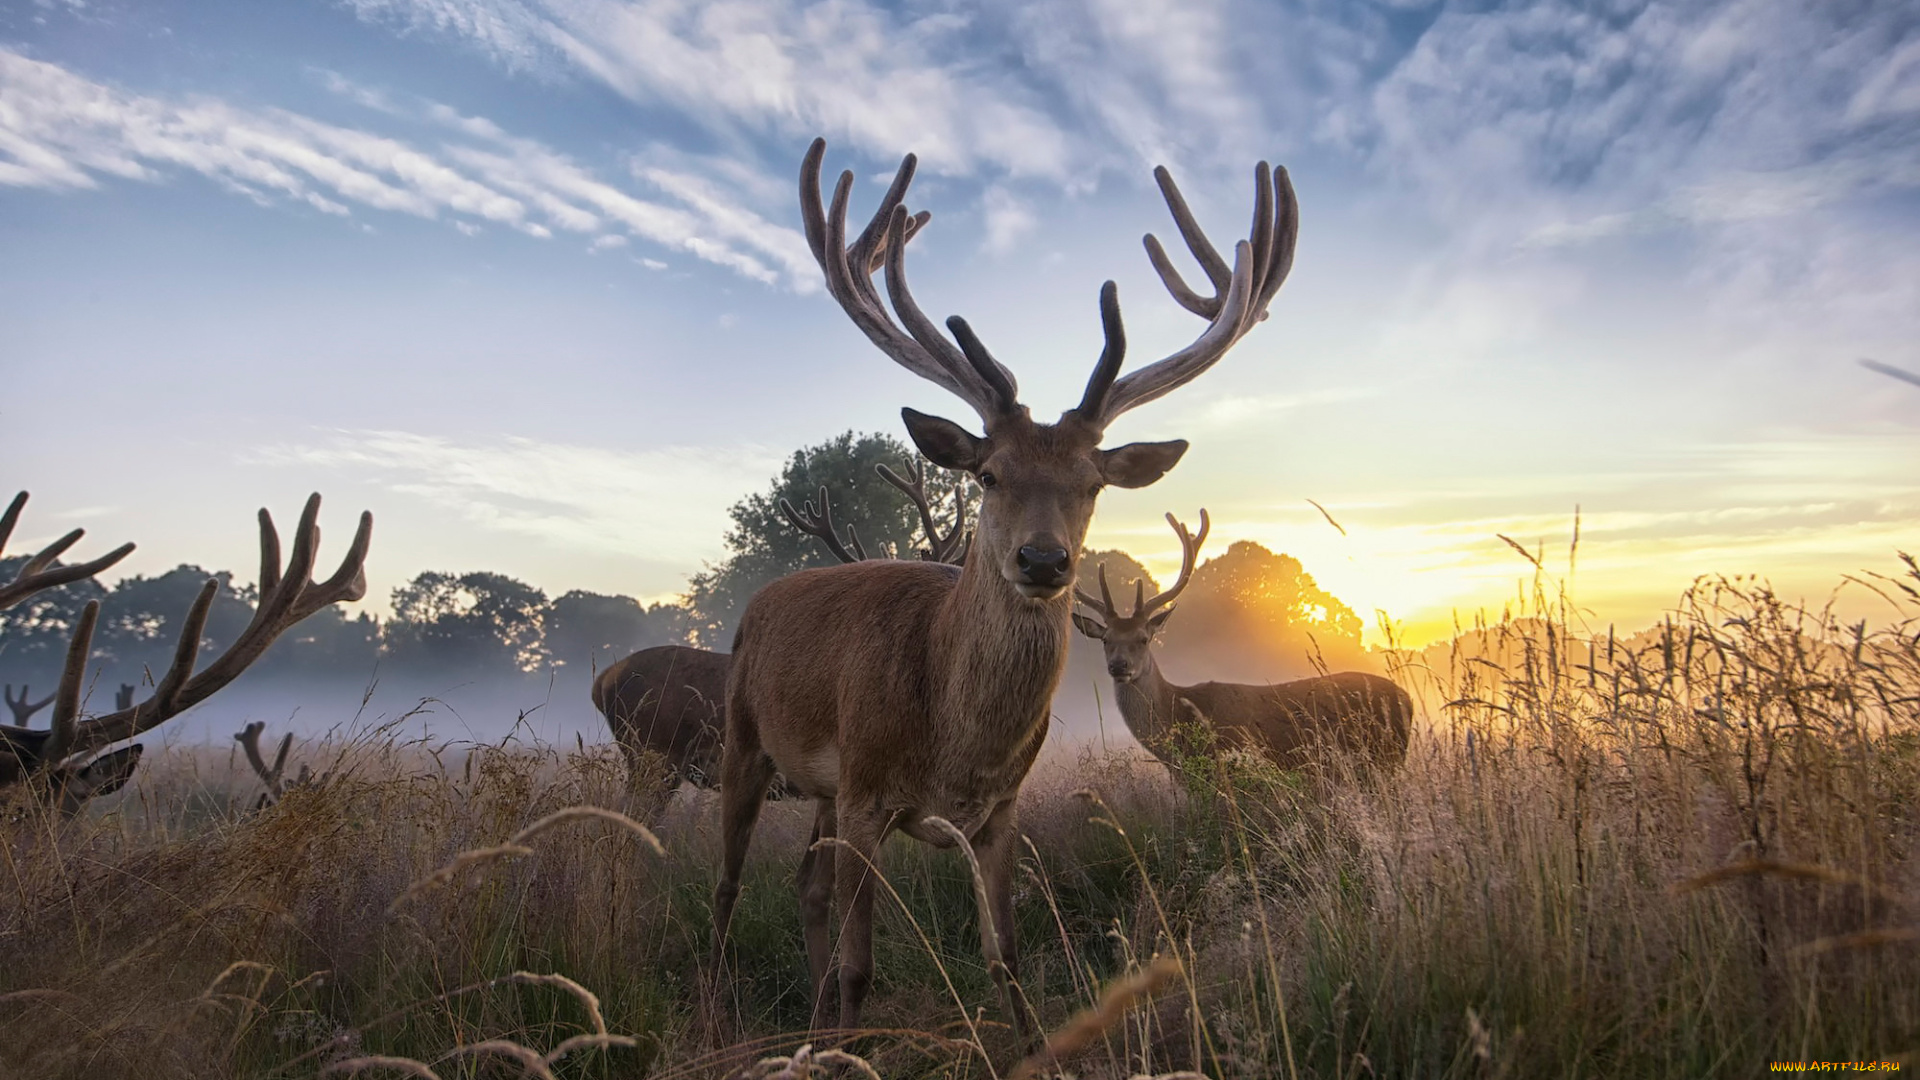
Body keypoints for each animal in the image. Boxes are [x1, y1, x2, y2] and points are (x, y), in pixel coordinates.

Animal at [714, 136, 1297, 1037]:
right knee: (728, 888)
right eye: (988, 474)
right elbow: (860, 966)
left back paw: (811, 1022)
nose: (1044, 561)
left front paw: (1022, 1044)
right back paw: (730, 1010)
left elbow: (1008, 960)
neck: (954, 742)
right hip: (744, 738)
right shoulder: (867, 790)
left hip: (819, 790)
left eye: (1093, 483)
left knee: (805, 885)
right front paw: (851, 1035)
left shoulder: (998, 813)